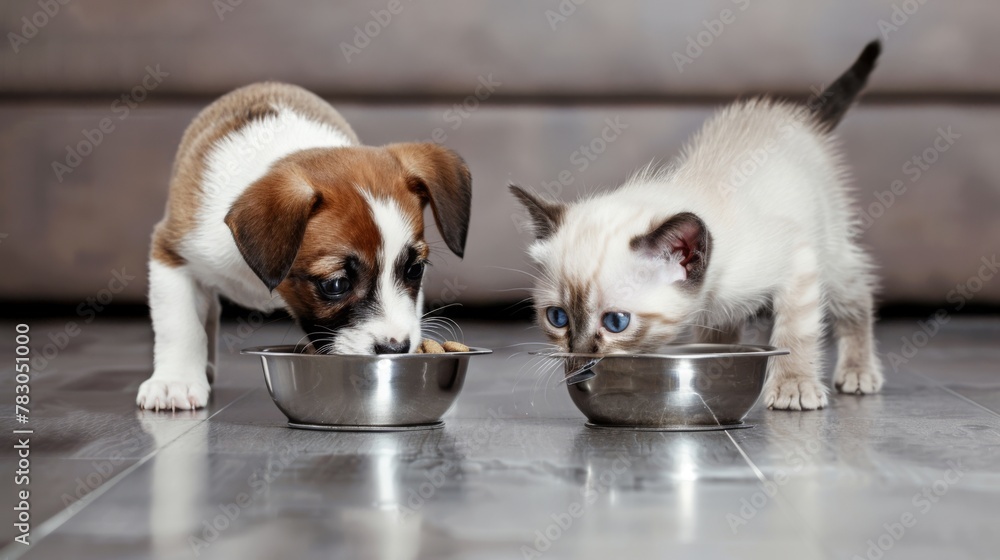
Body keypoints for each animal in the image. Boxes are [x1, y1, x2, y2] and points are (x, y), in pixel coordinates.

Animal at [136, 82, 472, 412]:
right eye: (336, 284)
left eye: (414, 270)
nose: (396, 348)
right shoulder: (172, 254)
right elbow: (179, 325)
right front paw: (175, 380)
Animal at [516, 41, 884, 412]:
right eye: (557, 318)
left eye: (616, 322)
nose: (577, 356)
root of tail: (799, 117)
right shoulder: (717, 311)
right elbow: (718, 340)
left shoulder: (798, 260)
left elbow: (796, 332)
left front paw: (793, 385)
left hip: (831, 250)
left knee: (857, 295)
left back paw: (858, 372)